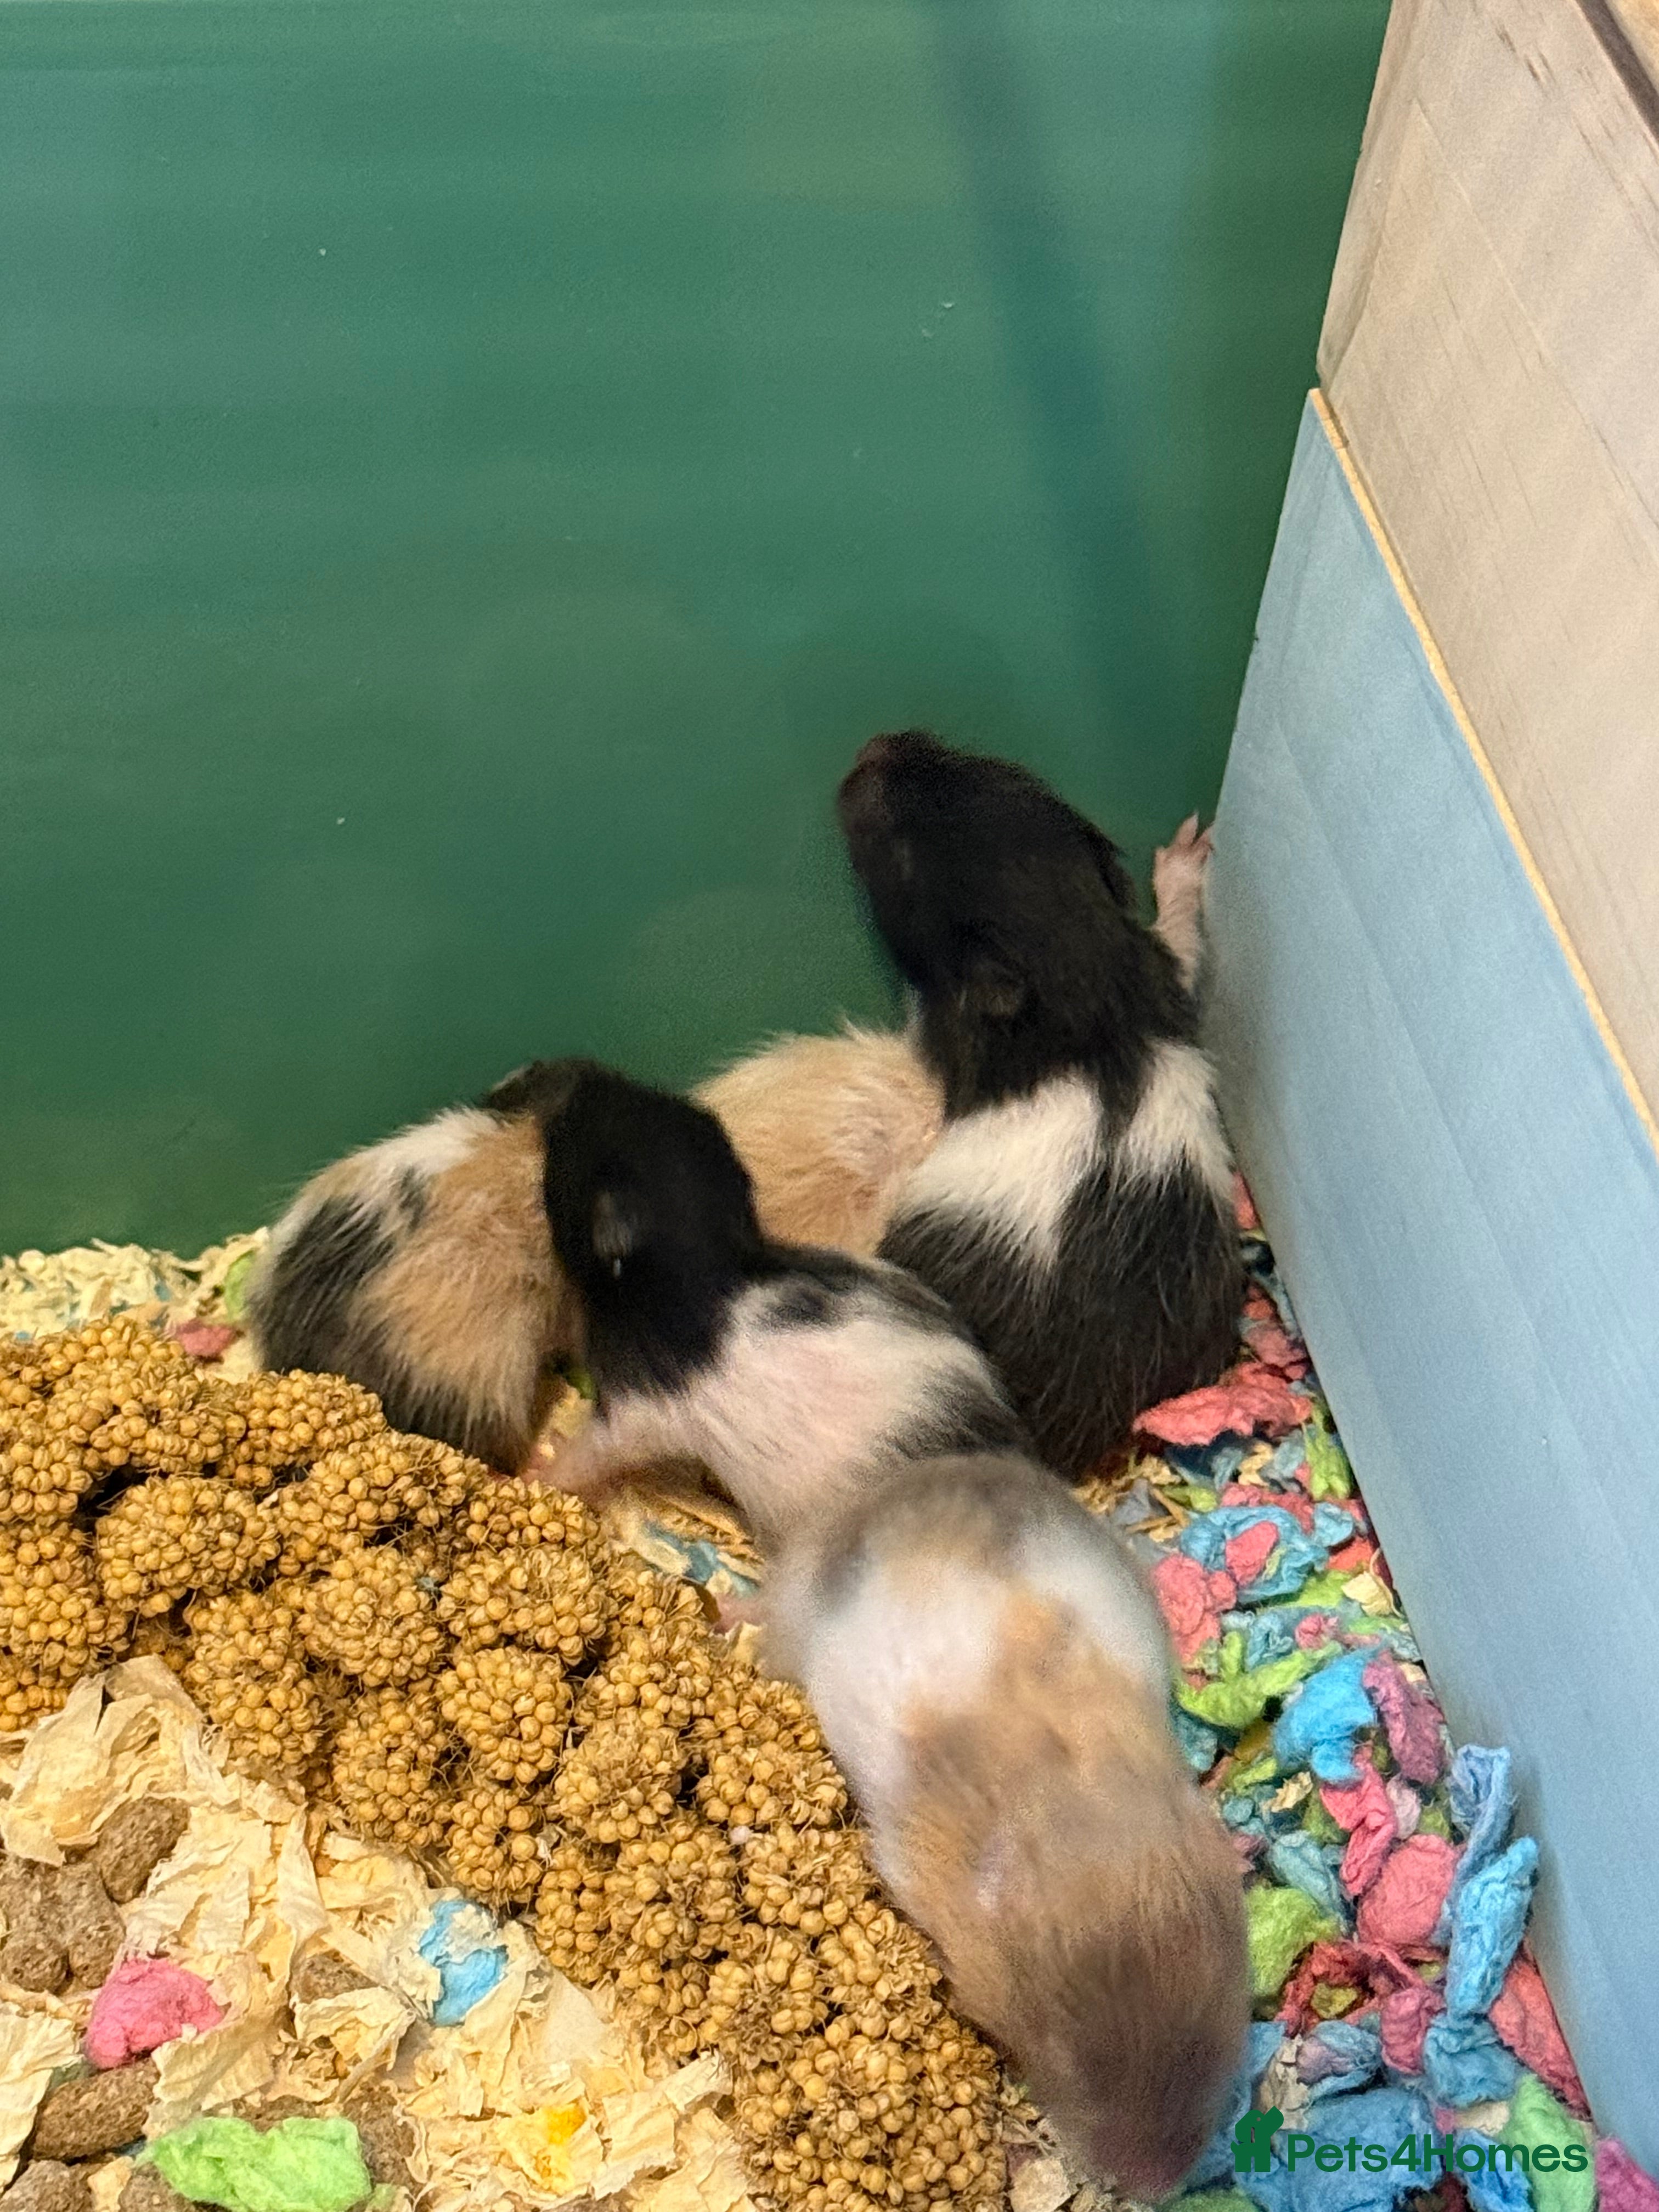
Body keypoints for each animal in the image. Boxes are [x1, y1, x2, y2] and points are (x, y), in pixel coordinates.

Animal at [530, 1063, 1026, 1546]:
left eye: (571, 1149)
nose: (571, 1078)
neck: (708, 1257)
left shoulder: (638, 1400)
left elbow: (595, 1450)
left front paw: (542, 1464)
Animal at [838, 730, 1242, 1478]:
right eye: (997, 767)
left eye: (902, 857)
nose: (876, 743)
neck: (1073, 963)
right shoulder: (1162, 969)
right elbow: (1180, 933)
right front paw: (1189, 846)